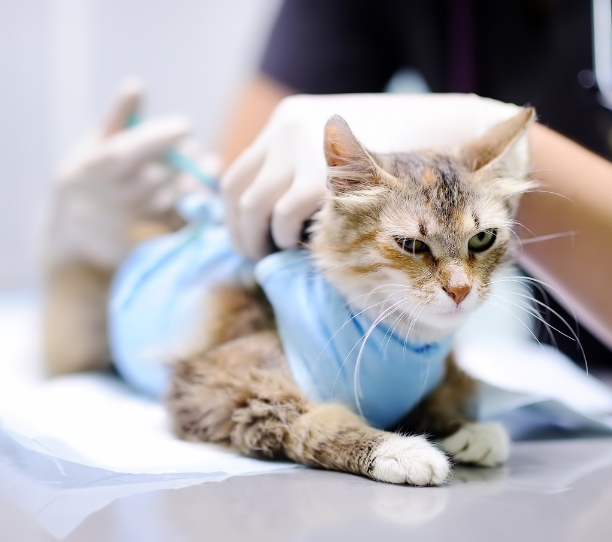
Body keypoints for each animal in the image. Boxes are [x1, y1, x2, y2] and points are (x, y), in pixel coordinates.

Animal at [165, 107, 532, 488]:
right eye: (412, 244)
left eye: (482, 239)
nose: (460, 290)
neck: (406, 346)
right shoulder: (222, 388)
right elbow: (319, 426)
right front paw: (402, 451)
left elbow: (443, 400)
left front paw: (468, 430)